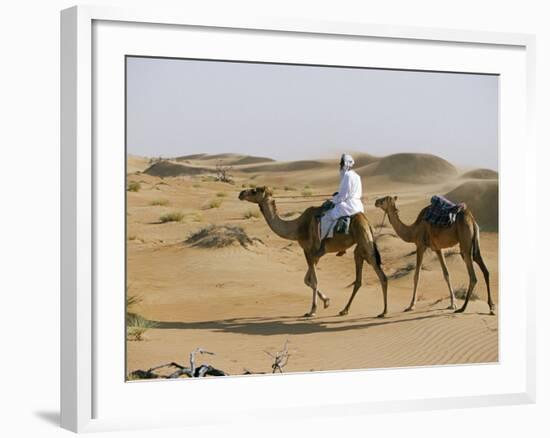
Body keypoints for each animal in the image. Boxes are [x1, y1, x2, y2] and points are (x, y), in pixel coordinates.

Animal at [239, 186, 390, 316]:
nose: (241, 193)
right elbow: (307, 280)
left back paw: (383, 312)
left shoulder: (309, 251)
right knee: (359, 280)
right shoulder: (316, 254)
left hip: (365, 242)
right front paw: (326, 301)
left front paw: (312, 310)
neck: (297, 227)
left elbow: (313, 281)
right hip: (360, 248)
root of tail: (368, 223)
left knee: (381, 275)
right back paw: (346, 310)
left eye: (254, 190)